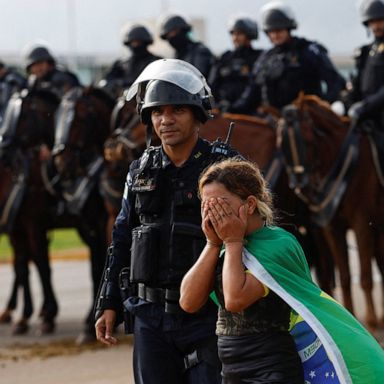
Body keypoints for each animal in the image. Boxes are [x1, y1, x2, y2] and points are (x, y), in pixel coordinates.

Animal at [280, 94, 384, 330]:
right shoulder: (331, 227)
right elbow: (345, 276)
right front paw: (350, 314)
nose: (299, 186)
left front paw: (372, 320)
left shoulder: (361, 223)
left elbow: (365, 275)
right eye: (281, 146)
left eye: (306, 140)